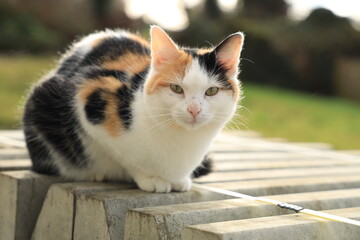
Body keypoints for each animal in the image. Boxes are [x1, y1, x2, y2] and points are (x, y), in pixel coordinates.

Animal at [21, 25, 242, 192]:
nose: (194, 110)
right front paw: (150, 179)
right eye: (176, 88)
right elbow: (124, 157)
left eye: (211, 91)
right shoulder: (87, 95)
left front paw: (180, 180)